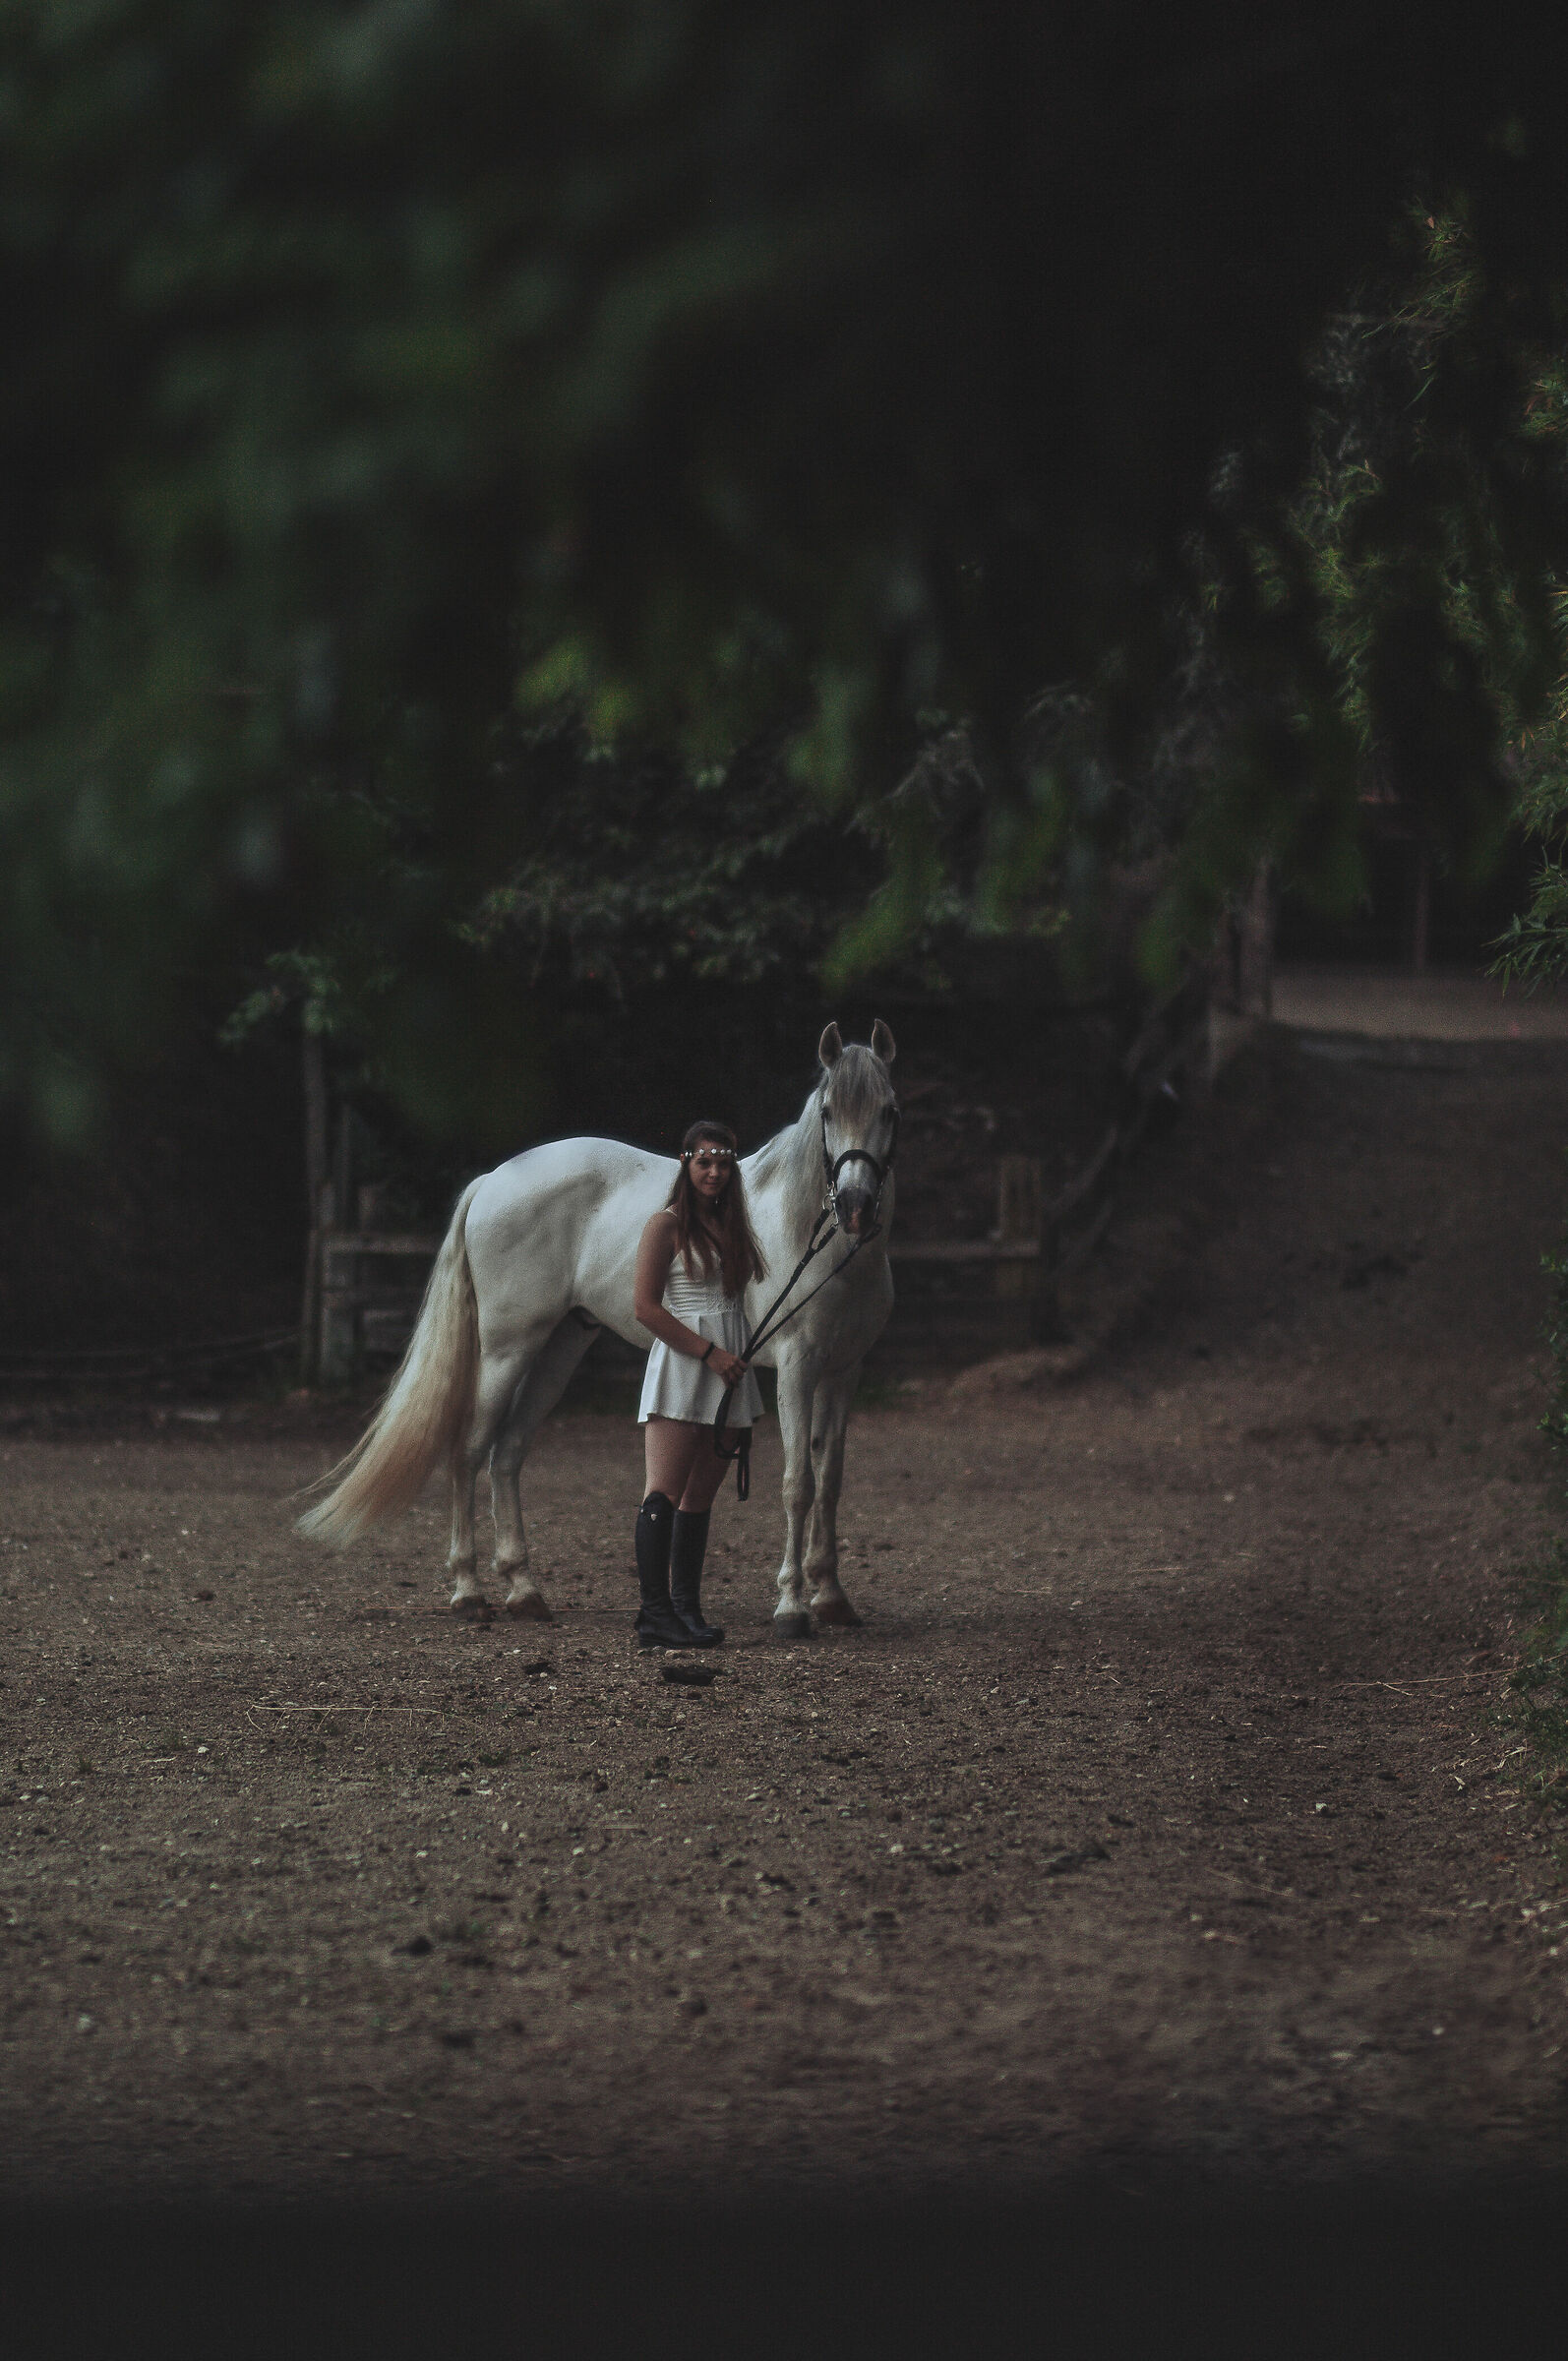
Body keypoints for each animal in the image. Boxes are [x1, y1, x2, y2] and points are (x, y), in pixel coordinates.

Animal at [299, 1021, 899, 1639]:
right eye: (828, 1111)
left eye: (890, 1111)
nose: (856, 1206)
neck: (812, 1237)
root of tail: (490, 1181)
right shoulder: (798, 1368)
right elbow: (798, 1484)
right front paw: (792, 1606)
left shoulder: (842, 1373)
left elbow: (830, 1479)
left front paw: (831, 1596)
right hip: (507, 1351)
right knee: (469, 1450)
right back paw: (468, 1591)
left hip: (560, 1348)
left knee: (507, 1454)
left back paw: (524, 1590)